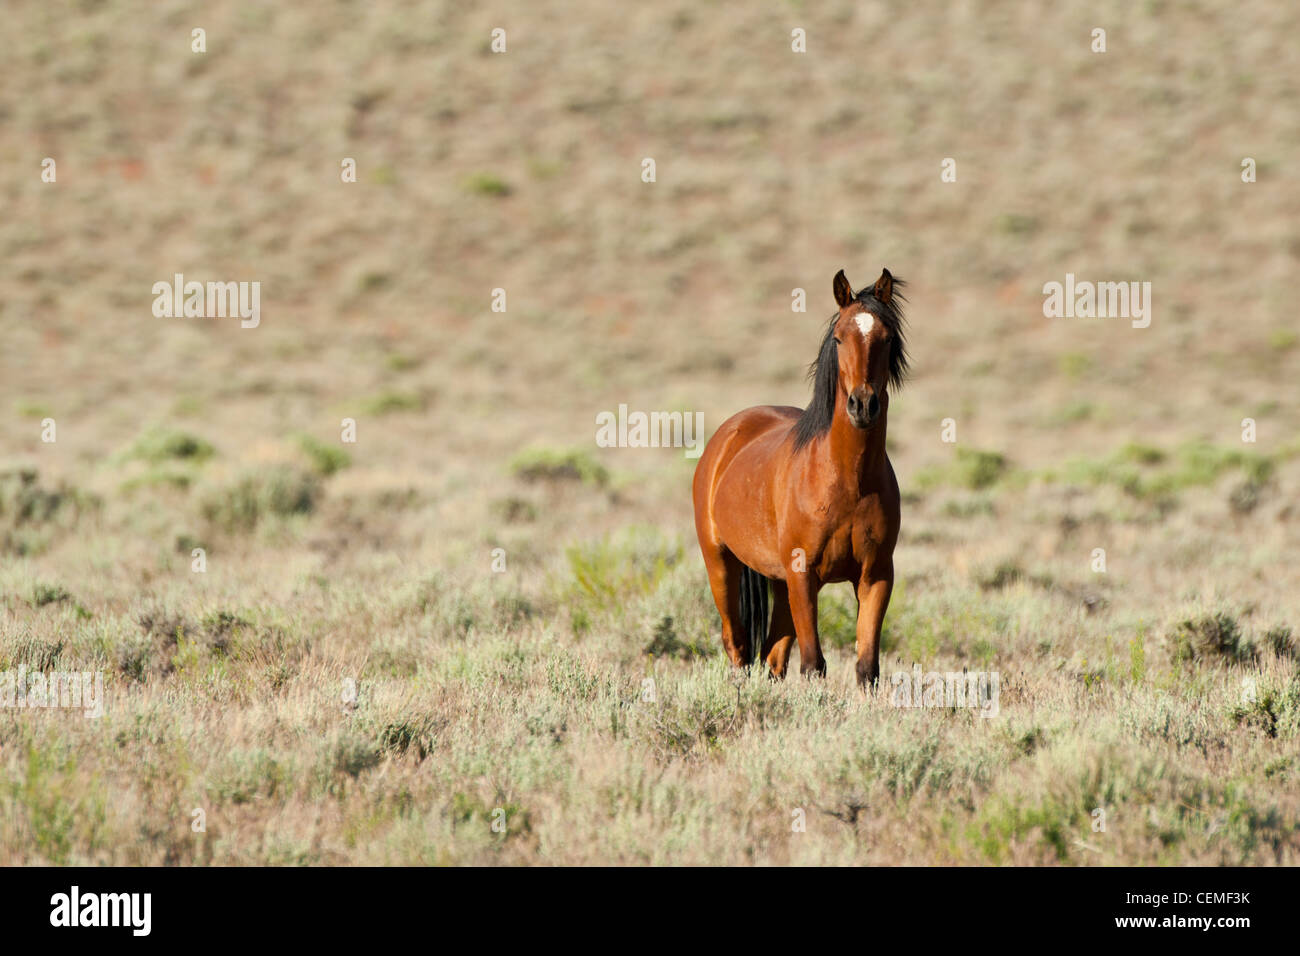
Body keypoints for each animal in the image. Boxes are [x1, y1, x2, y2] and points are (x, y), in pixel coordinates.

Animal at [691, 267, 904, 686]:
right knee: (737, 645)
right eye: (839, 337)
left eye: (886, 338)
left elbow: (866, 667)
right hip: (721, 564)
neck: (848, 481)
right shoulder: (804, 577)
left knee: (773, 658)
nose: (862, 405)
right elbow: (813, 665)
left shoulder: (875, 576)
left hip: (778, 580)